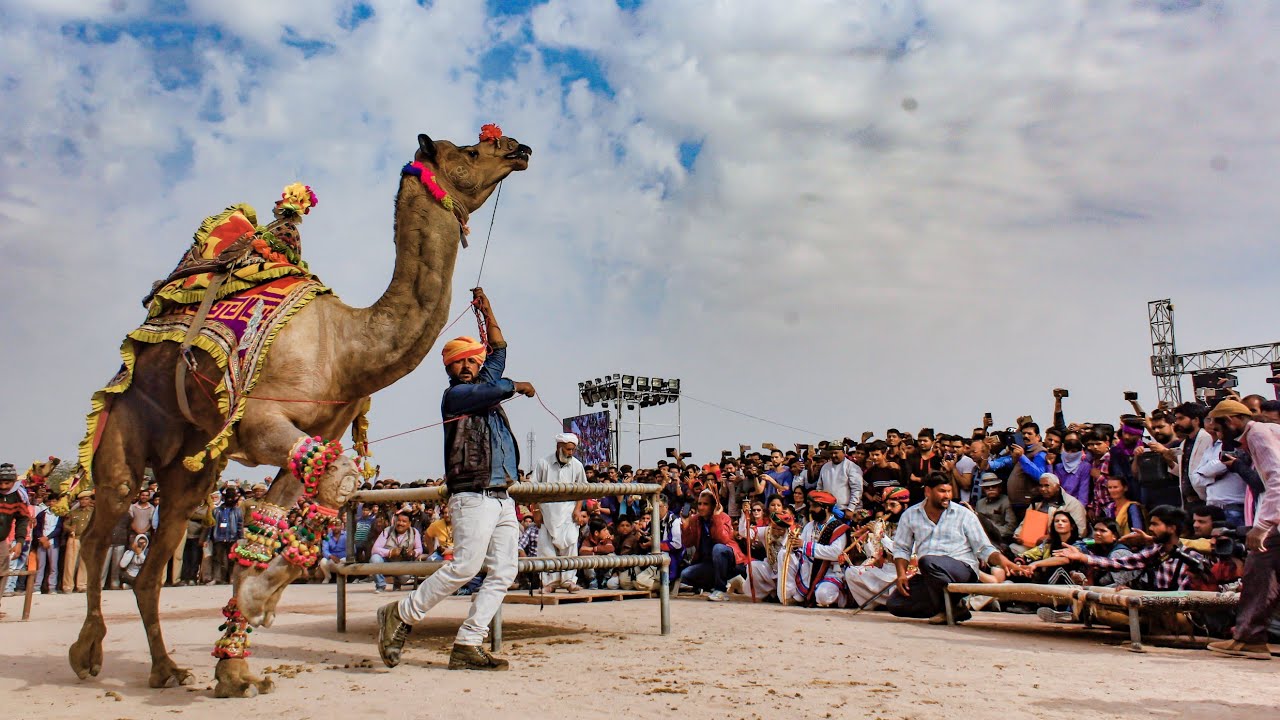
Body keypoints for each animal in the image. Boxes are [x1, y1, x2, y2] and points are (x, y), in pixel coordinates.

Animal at [68, 129, 531, 697]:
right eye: (468, 150)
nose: (517, 147)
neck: (347, 347)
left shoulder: (316, 434)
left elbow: (272, 524)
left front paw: (236, 667)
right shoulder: (260, 422)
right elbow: (340, 482)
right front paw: (254, 603)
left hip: (190, 463)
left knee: (157, 554)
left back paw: (166, 668)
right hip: (128, 420)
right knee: (101, 525)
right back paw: (87, 652)